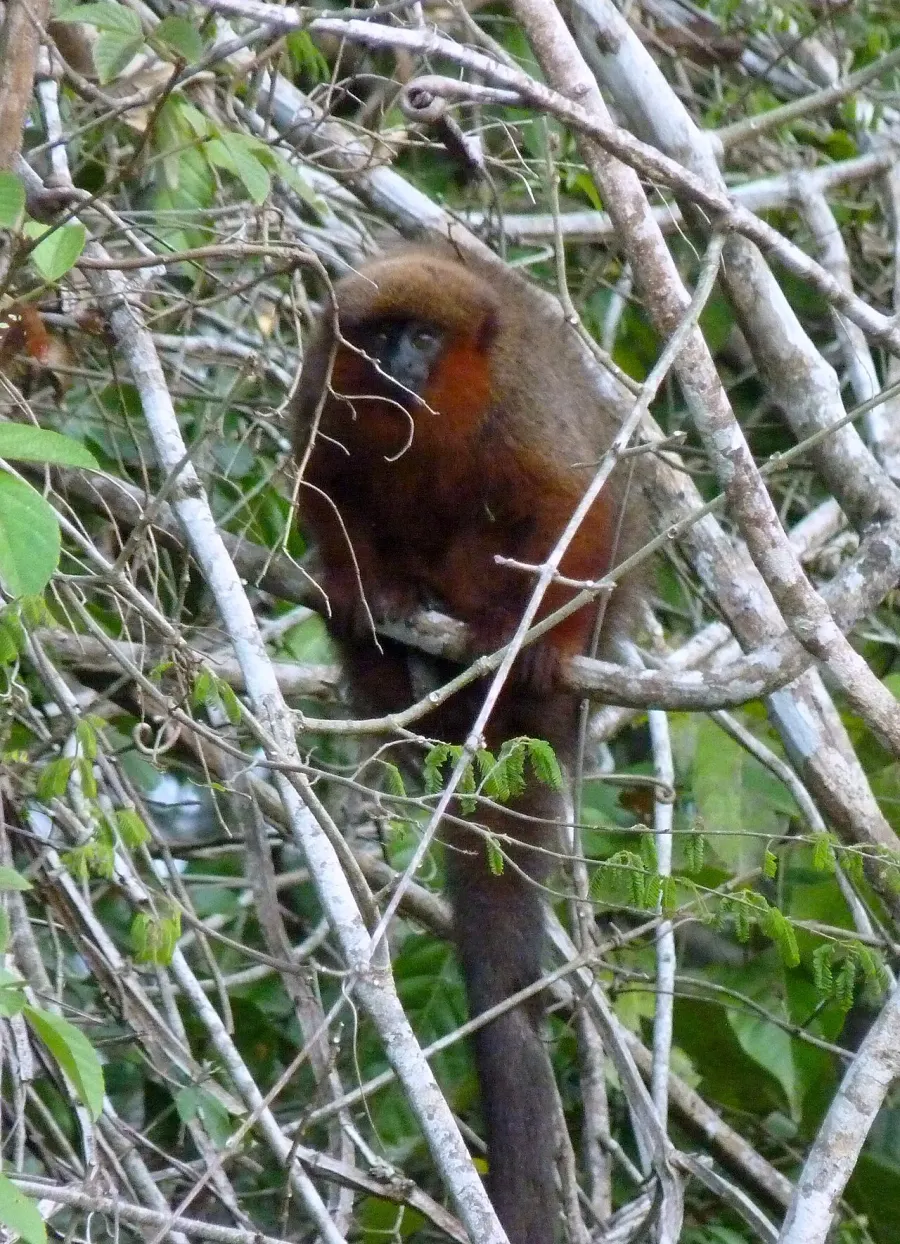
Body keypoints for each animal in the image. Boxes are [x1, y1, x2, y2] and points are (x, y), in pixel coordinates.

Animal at [291, 243, 644, 1244]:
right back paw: (395, 642)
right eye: (377, 336)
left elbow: (574, 503)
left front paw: (544, 637)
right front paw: (361, 590)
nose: (394, 363)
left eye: (422, 336)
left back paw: (498, 643)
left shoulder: (521, 407)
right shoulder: (323, 388)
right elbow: (321, 482)